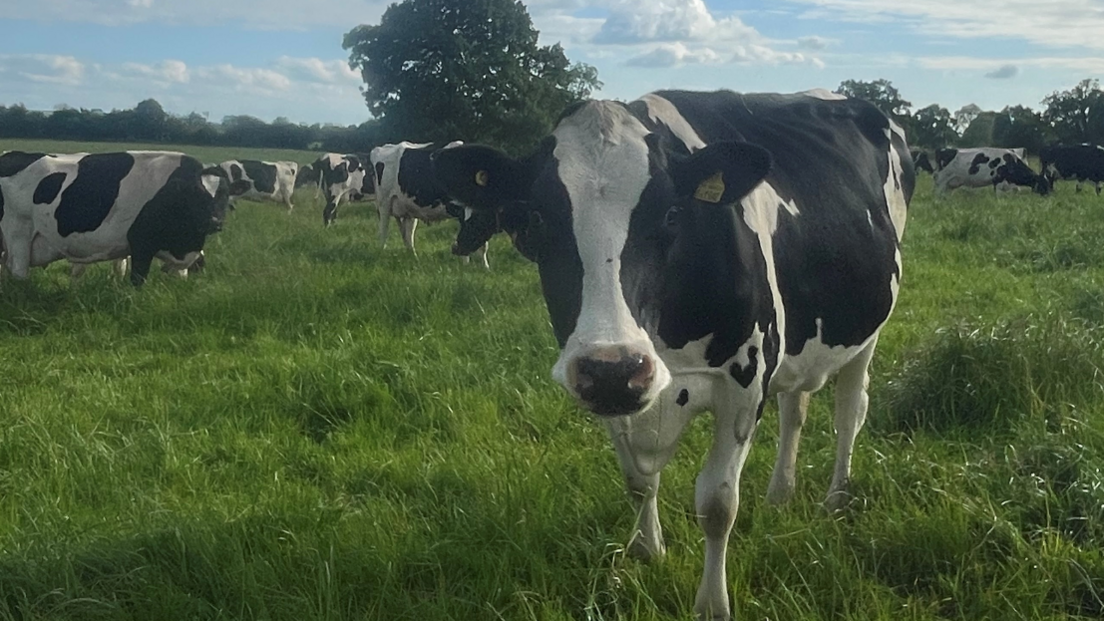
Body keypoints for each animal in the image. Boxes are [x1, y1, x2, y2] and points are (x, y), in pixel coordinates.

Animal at [0, 150, 246, 285]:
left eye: (225, 194)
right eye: (196, 195)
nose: (214, 222)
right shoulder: (141, 242)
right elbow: (137, 278)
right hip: (18, 234)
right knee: (19, 272)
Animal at [430, 88, 914, 618]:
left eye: (670, 215)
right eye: (537, 217)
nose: (614, 366)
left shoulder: (745, 383)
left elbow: (717, 505)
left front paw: (712, 604)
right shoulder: (615, 389)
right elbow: (638, 481)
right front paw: (647, 551)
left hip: (868, 330)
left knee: (850, 410)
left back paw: (835, 498)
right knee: (796, 409)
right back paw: (780, 494)